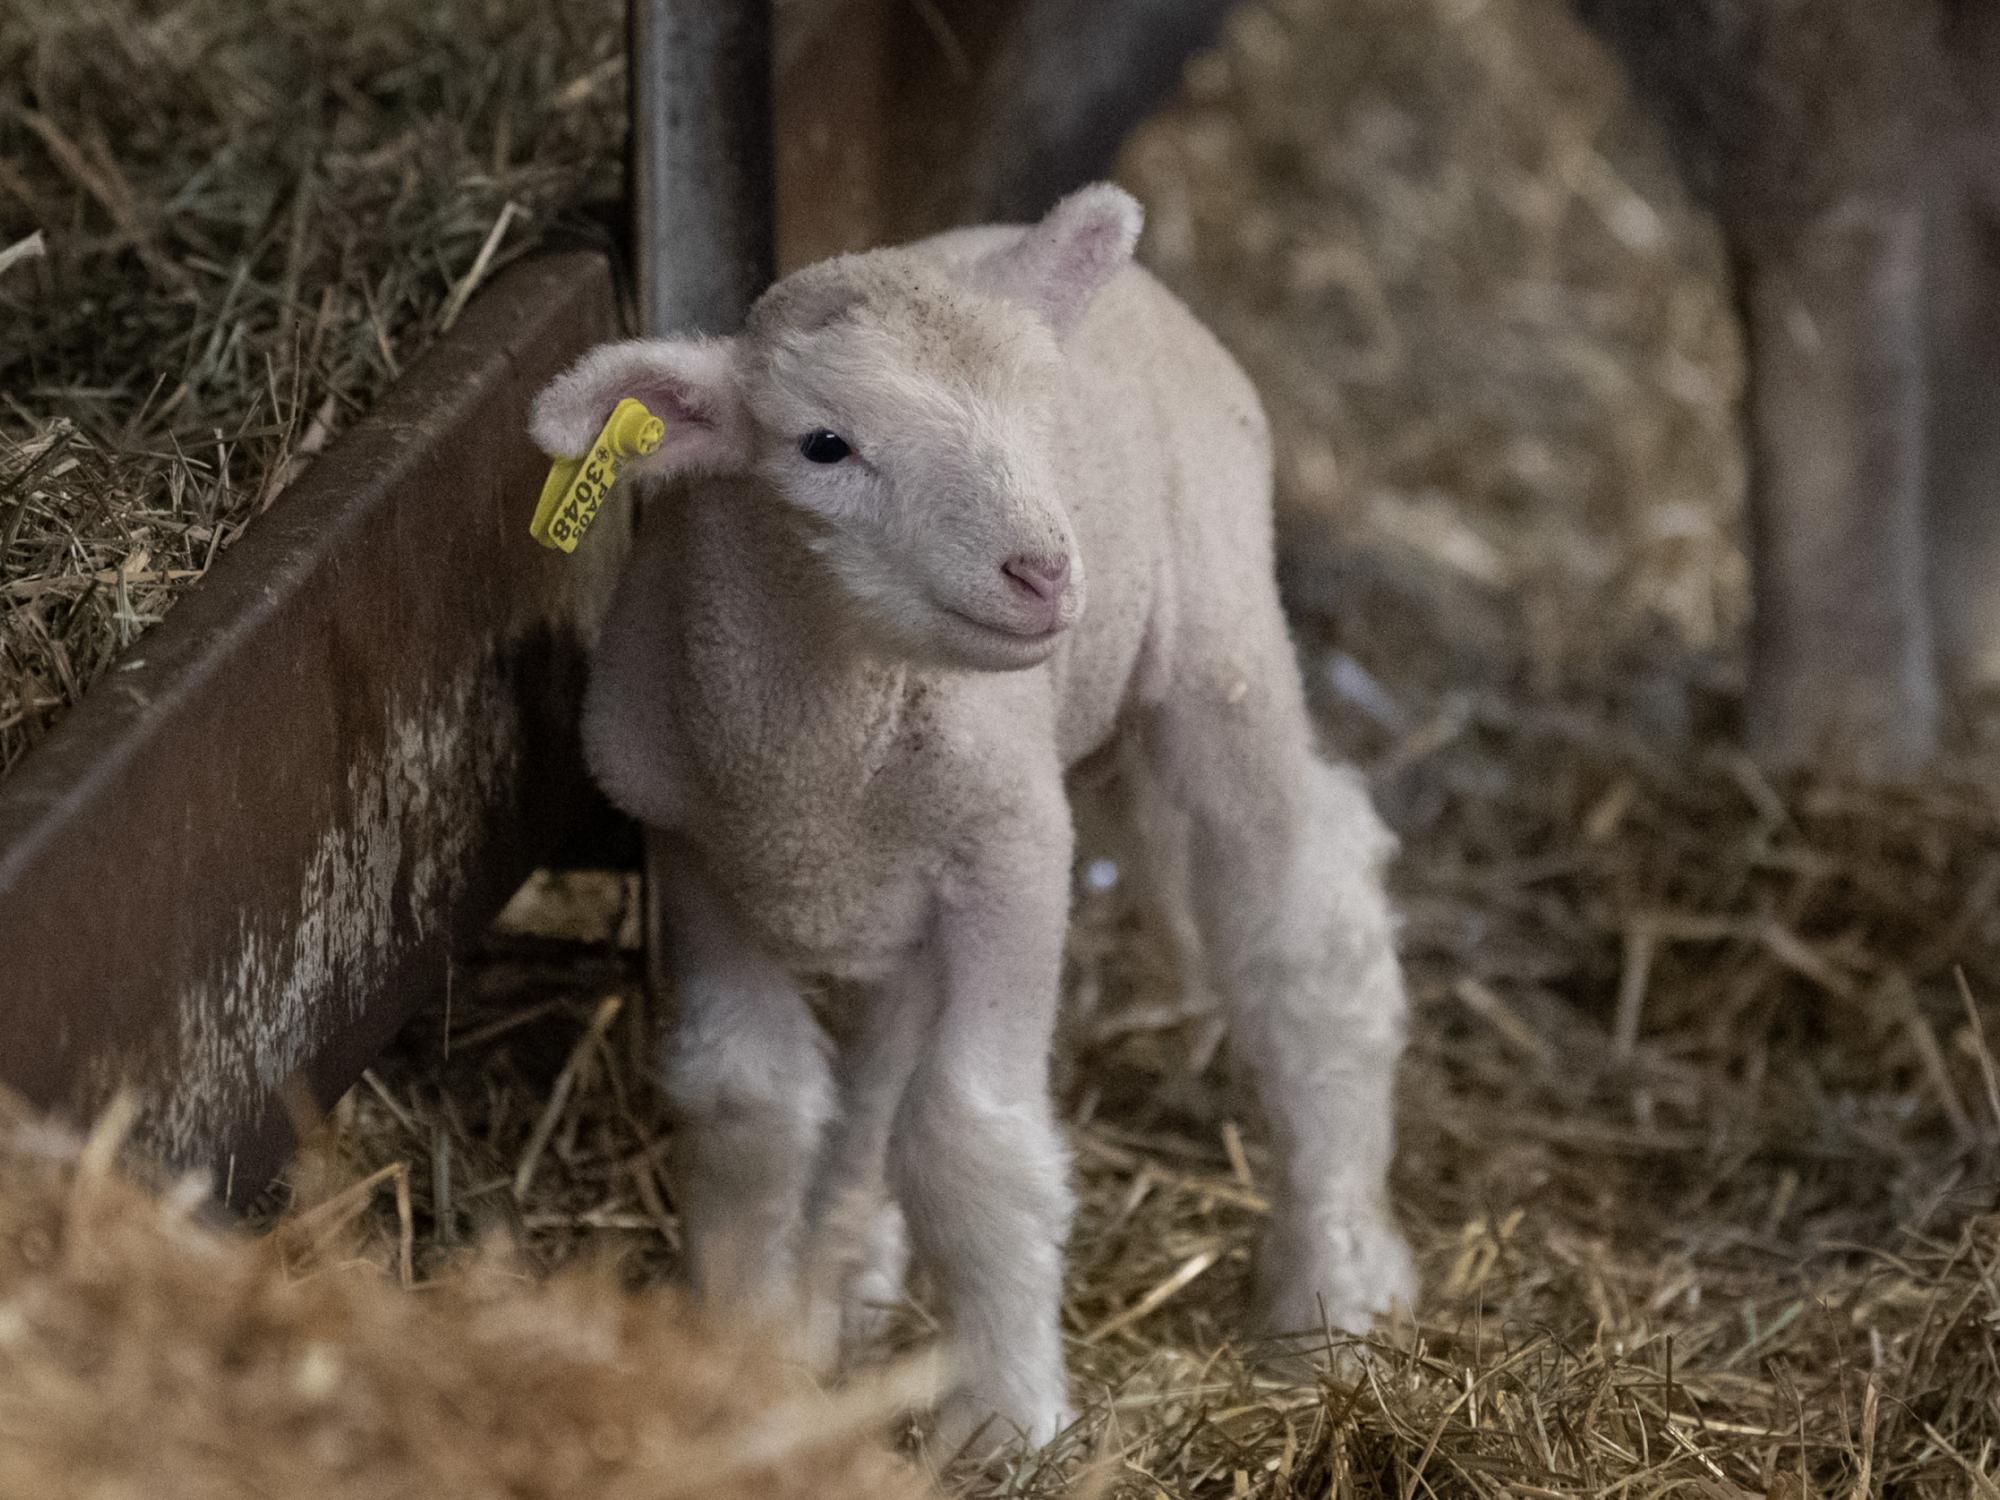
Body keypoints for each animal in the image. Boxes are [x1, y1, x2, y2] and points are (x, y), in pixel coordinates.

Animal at [529, 183, 1415, 1451]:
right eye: (824, 445)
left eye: (1040, 416)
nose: (1042, 572)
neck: (810, 755)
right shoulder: (697, 855)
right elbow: (748, 1099)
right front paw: (743, 1357)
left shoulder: (1011, 860)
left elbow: (967, 1132)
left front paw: (1005, 1418)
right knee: (872, 1082)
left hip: (1217, 639)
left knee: (1310, 928)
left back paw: (1326, 1293)